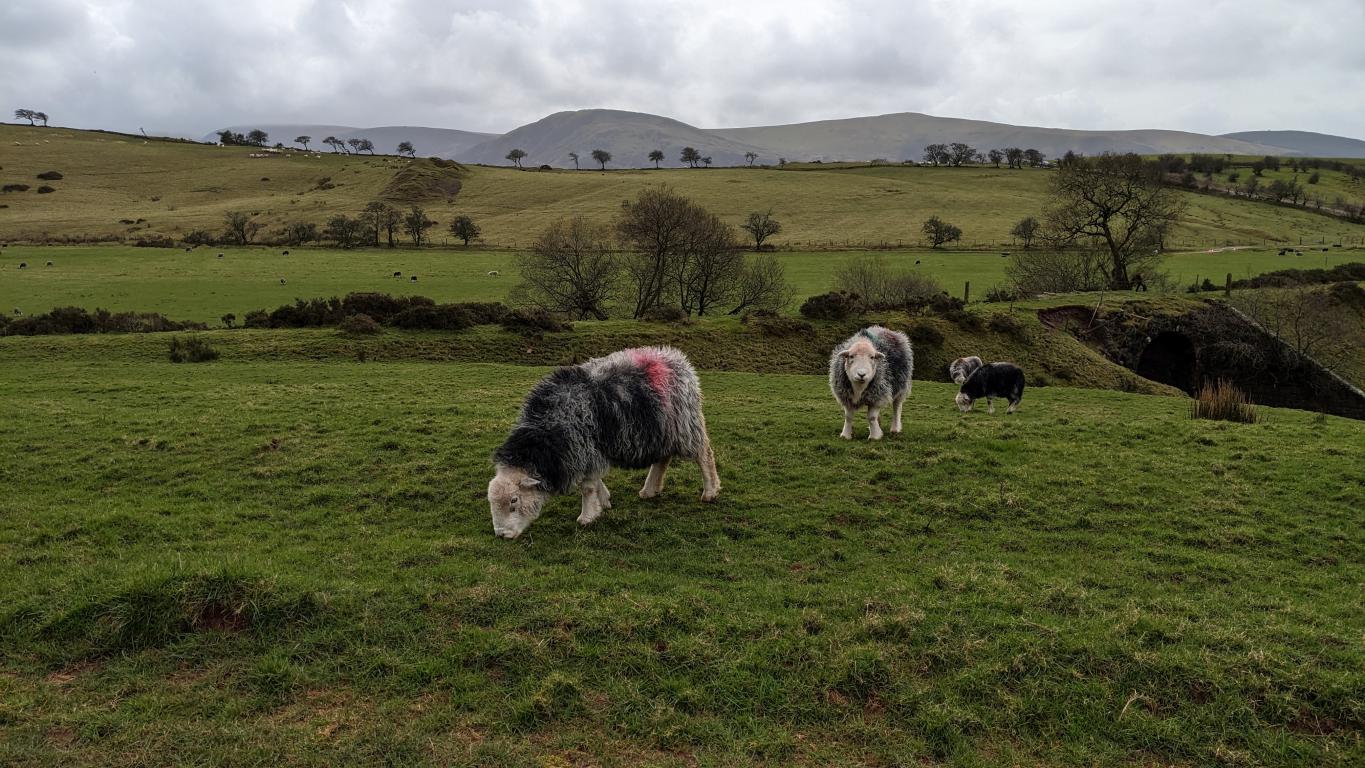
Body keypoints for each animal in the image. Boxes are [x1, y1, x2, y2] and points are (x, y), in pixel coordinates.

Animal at [487, 346, 720, 539]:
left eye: (514, 501)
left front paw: (587, 516)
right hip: (662, 430)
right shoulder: (589, 451)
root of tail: (678, 359)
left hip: (686, 425)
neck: (549, 432)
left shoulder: (585, 448)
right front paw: (604, 500)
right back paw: (650, 490)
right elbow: (594, 480)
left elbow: (587, 486)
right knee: (663, 458)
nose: (502, 535)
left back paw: (710, 491)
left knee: (704, 455)